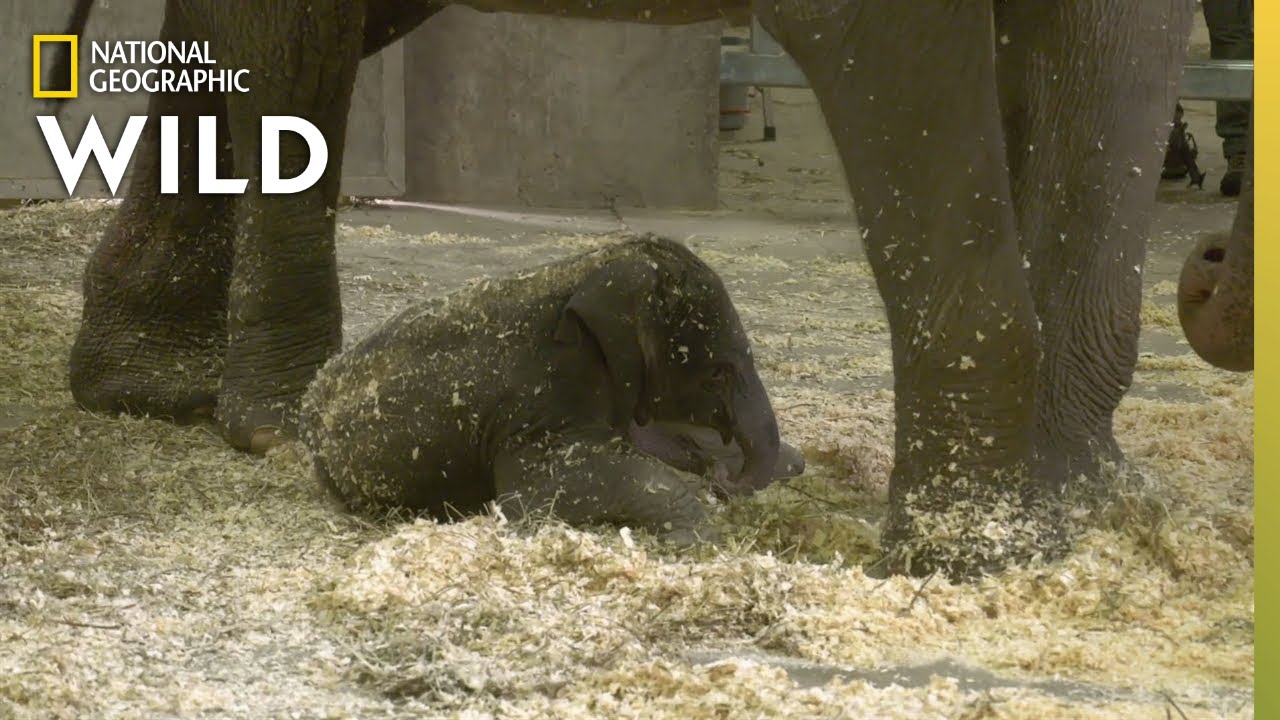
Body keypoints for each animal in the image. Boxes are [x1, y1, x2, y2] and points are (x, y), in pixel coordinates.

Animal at [298, 235, 803, 542]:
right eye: (719, 373)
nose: (723, 482)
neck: (587, 268)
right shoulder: (540, 400)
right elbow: (545, 494)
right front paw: (692, 534)